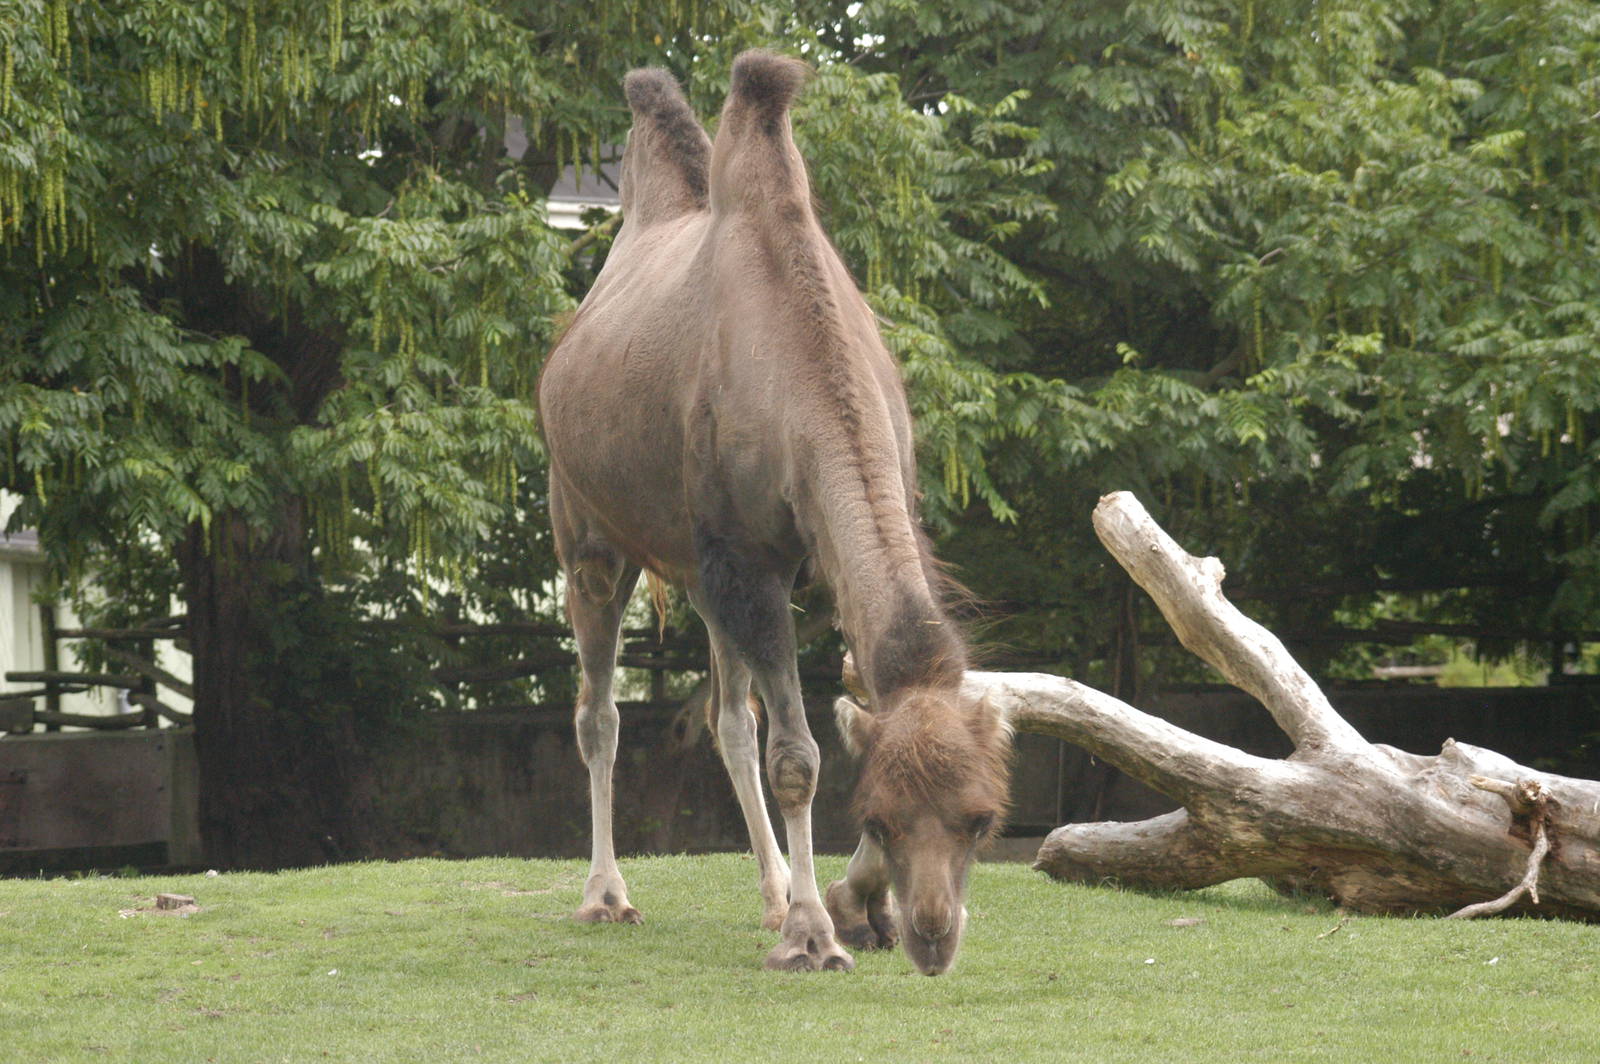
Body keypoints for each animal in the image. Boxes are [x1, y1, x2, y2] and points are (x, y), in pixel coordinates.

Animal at [537, 51, 1012, 975]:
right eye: (881, 821)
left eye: (982, 819)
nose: (936, 939)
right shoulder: (747, 559)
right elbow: (800, 754)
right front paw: (814, 935)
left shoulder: (786, 551)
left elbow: (830, 708)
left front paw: (849, 908)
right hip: (588, 533)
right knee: (598, 713)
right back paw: (607, 896)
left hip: (697, 568)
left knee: (725, 719)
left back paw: (769, 893)